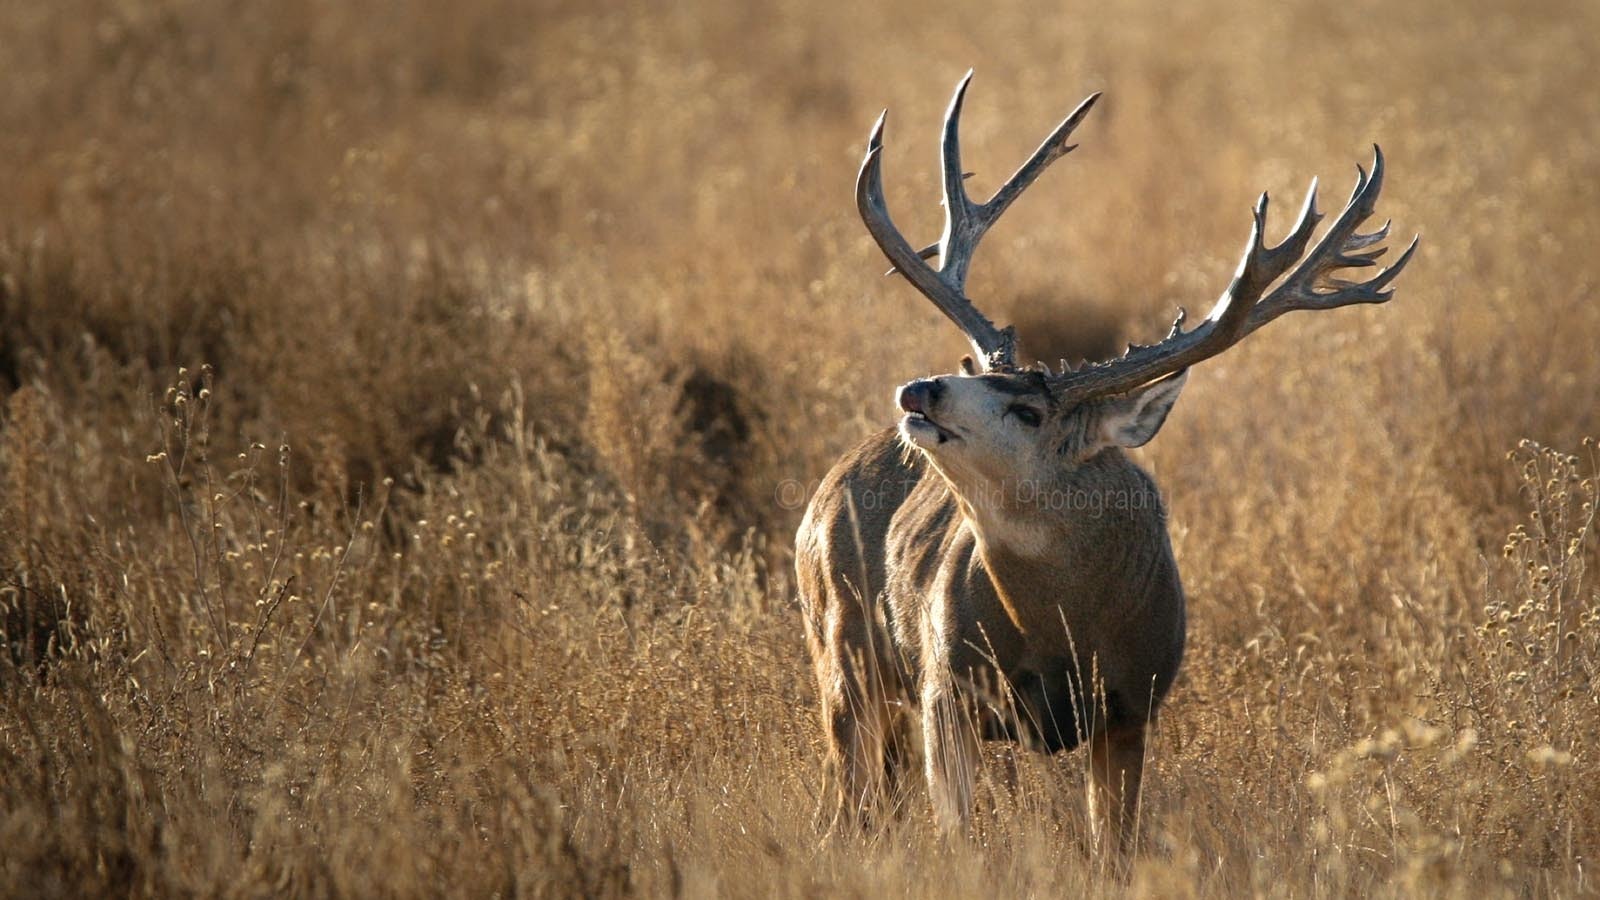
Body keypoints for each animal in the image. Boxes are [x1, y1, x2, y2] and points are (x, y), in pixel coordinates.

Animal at [795, 71, 1417, 852]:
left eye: (1029, 412)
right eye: (978, 374)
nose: (921, 389)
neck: (1064, 628)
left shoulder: (1132, 705)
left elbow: (1112, 850)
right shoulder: (947, 689)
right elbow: (959, 837)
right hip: (839, 645)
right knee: (847, 800)